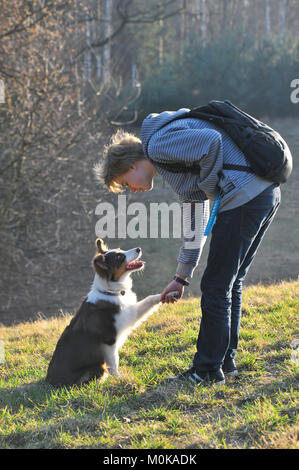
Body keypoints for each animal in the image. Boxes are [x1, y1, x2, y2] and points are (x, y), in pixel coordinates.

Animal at [47, 237, 163, 388]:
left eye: (120, 250)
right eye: (119, 257)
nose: (139, 249)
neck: (111, 291)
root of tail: (49, 382)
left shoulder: (130, 315)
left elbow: (149, 299)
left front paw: (166, 294)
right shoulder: (109, 341)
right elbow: (114, 363)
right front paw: (119, 380)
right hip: (96, 367)